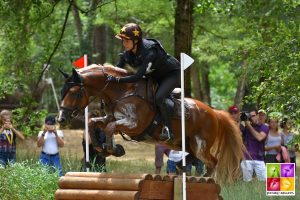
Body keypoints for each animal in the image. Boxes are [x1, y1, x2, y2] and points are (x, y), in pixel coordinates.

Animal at [57, 64, 245, 183]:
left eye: (74, 92)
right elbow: (93, 122)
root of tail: (215, 113)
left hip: (200, 145)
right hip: (187, 145)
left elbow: (110, 128)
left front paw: (112, 149)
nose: (61, 119)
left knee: (212, 162)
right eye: (62, 91)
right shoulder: (112, 118)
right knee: (191, 161)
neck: (122, 91)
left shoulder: (134, 125)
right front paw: (100, 146)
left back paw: (204, 180)